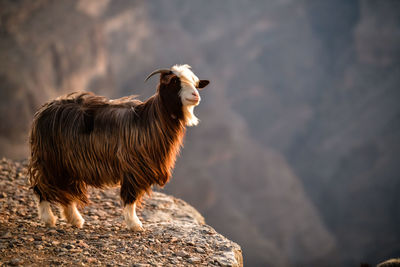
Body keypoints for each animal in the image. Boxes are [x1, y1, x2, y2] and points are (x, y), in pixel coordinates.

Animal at [28, 64, 209, 230]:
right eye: (174, 82)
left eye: (195, 83)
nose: (196, 95)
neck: (148, 119)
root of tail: (43, 111)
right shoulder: (134, 167)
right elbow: (130, 197)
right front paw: (135, 224)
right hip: (51, 161)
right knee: (41, 187)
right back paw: (48, 219)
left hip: (66, 164)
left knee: (66, 191)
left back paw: (75, 219)